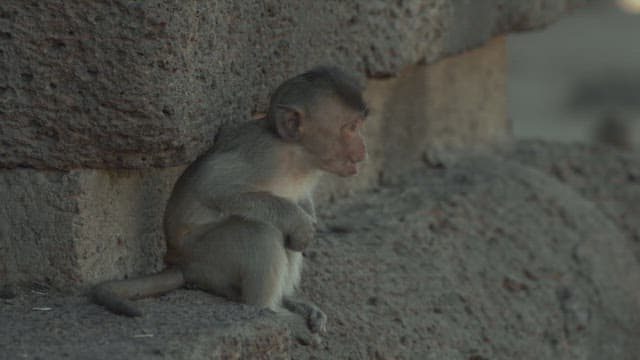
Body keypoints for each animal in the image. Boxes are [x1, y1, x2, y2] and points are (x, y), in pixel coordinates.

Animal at [92, 67, 368, 344]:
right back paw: (270, 312)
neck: (298, 154)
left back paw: (289, 302)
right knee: (260, 232)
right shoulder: (266, 155)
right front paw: (301, 224)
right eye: (351, 127)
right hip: (204, 254)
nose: (363, 149)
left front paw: (308, 218)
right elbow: (215, 187)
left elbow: (300, 202)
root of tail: (178, 262)